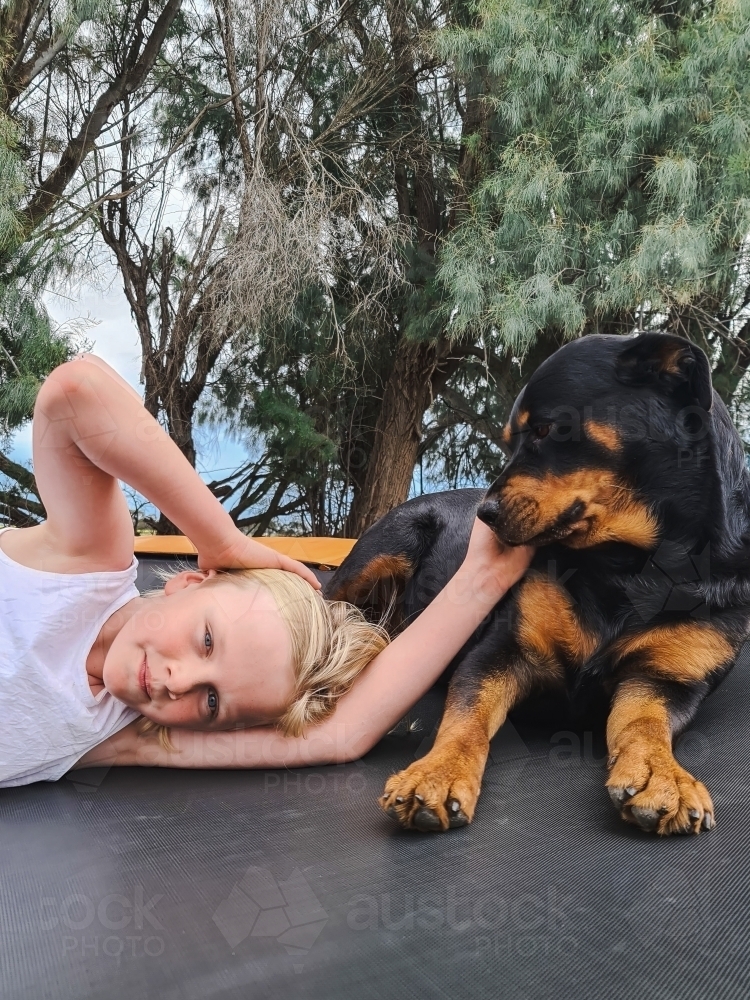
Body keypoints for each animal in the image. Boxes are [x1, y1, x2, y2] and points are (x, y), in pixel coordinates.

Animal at [326, 334, 750, 836]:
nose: (484, 515)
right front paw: (439, 771)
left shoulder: (666, 680)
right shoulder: (501, 652)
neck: (629, 563)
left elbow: (644, 725)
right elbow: (464, 720)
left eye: (546, 430)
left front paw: (660, 775)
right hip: (381, 550)